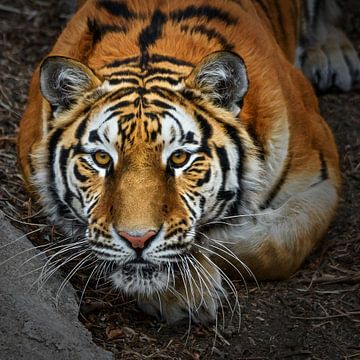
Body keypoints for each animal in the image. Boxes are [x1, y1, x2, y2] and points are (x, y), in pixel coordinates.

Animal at [17, 0, 360, 324]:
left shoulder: (320, 171)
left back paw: (332, 54)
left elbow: (283, 243)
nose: (137, 239)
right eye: (101, 158)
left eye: (180, 158)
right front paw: (185, 292)